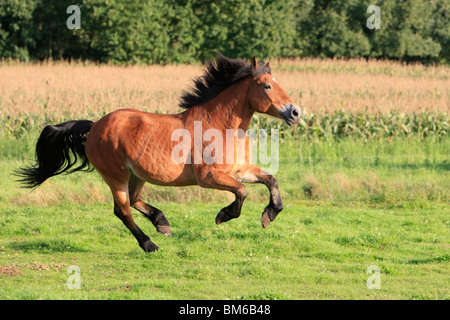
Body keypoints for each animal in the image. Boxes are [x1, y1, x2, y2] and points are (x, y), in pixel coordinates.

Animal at [15, 53, 300, 251]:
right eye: (267, 86)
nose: (295, 112)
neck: (220, 126)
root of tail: (95, 125)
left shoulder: (240, 170)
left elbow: (271, 181)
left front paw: (269, 215)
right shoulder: (208, 178)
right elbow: (242, 193)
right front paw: (223, 216)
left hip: (137, 174)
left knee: (134, 200)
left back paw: (162, 223)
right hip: (116, 175)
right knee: (123, 210)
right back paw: (150, 243)